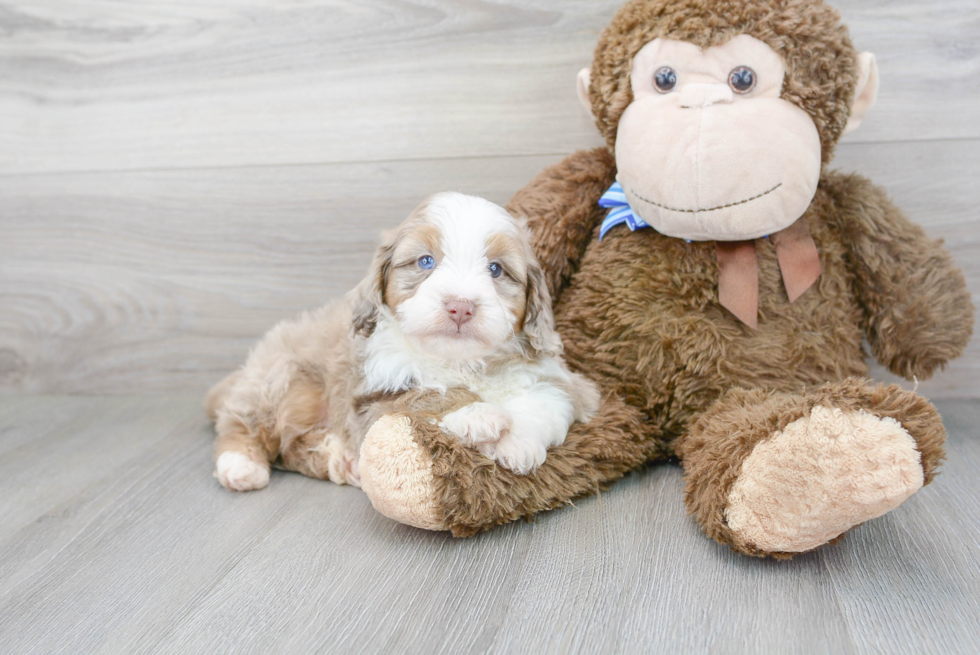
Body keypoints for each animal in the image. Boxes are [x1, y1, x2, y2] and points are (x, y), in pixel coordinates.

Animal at [207, 192, 596, 490]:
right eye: (425, 261)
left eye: (496, 269)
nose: (460, 307)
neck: (460, 362)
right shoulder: (371, 397)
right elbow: (421, 397)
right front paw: (476, 414)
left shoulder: (560, 378)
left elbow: (549, 400)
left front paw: (518, 444)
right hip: (280, 378)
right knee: (244, 423)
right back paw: (240, 465)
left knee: (292, 448)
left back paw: (338, 460)